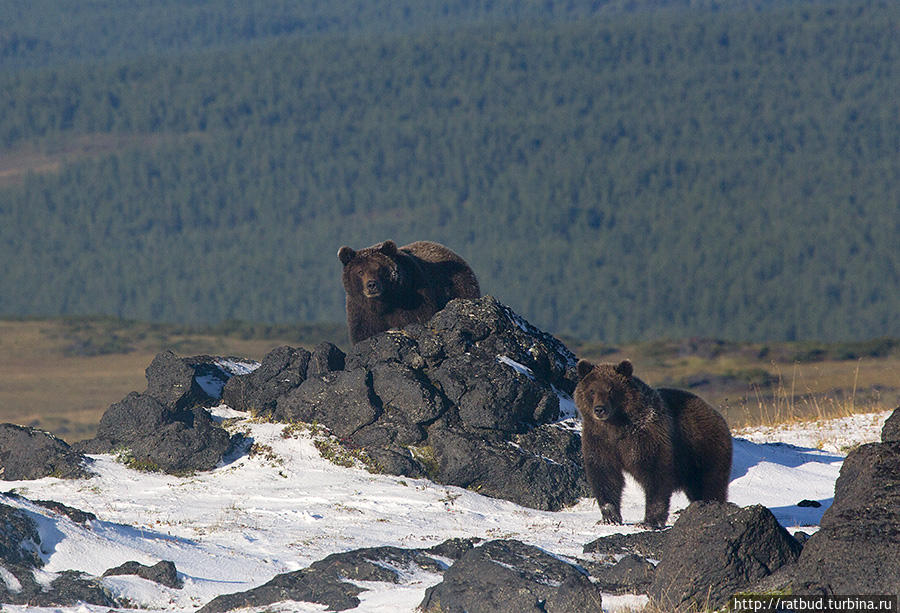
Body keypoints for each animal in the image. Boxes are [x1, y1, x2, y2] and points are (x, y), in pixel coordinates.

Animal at [338, 239, 482, 344]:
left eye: (379, 268)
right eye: (360, 272)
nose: (371, 285)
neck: (384, 303)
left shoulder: (412, 299)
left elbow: (416, 318)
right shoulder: (361, 311)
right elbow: (363, 333)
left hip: (460, 286)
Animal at [576, 358, 732, 524]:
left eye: (611, 389)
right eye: (592, 390)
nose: (600, 409)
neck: (616, 425)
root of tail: (714, 411)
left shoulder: (646, 436)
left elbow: (655, 472)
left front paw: (650, 521)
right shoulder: (599, 439)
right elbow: (605, 474)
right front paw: (610, 517)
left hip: (704, 449)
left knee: (710, 483)